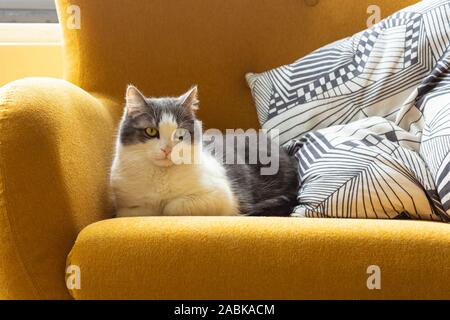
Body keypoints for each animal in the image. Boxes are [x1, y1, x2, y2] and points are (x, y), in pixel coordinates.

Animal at [109, 84, 298, 218]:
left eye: (181, 133)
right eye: (150, 131)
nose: (168, 149)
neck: (161, 175)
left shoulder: (222, 196)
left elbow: (172, 206)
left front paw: (163, 208)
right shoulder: (125, 205)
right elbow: (134, 211)